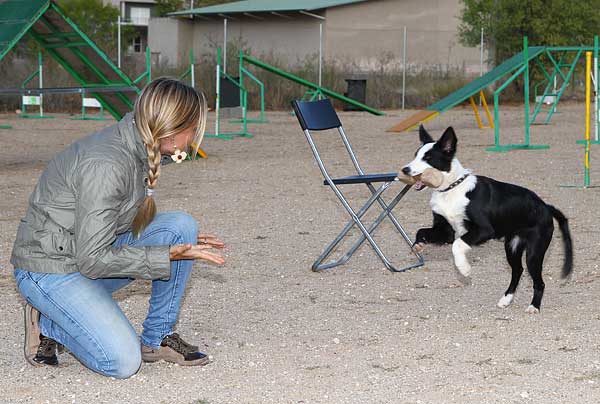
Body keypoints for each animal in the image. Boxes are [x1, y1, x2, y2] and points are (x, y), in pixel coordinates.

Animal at [400, 125, 576, 312]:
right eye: (415, 155)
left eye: (428, 158)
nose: (405, 170)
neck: (451, 189)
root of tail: (545, 206)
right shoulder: (445, 231)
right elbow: (422, 231)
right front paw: (418, 245)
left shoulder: (484, 230)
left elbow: (458, 244)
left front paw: (464, 269)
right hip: (512, 246)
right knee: (517, 270)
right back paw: (506, 299)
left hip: (534, 252)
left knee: (539, 281)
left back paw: (534, 306)